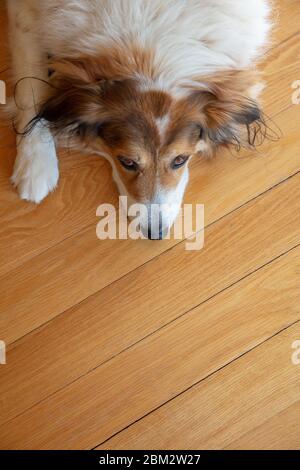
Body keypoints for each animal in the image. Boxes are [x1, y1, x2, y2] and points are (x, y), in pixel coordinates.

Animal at [7, 0, 270, 239]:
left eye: (181, 160)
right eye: (127, 162)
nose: (156, 234)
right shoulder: (24, 12)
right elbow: (30, 86)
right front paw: (34, 164)